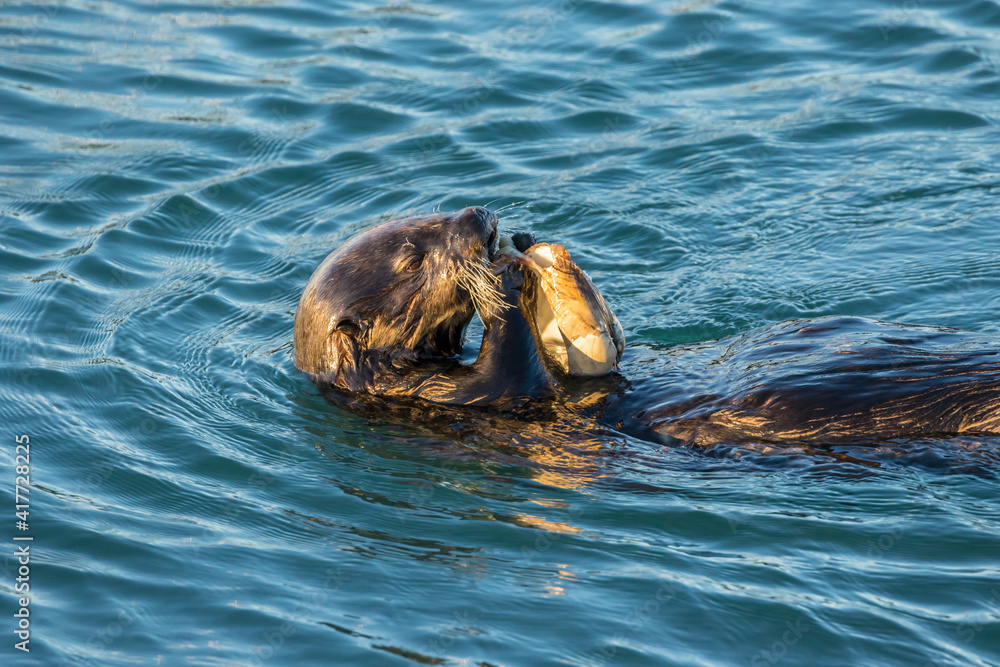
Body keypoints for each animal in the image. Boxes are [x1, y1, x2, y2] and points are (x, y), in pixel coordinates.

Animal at [294, 208, 1000, 446]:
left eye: (431, 213)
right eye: (415, 258)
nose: (480, 219)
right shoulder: (447, 398)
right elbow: (509, 371)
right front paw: (508, 280)